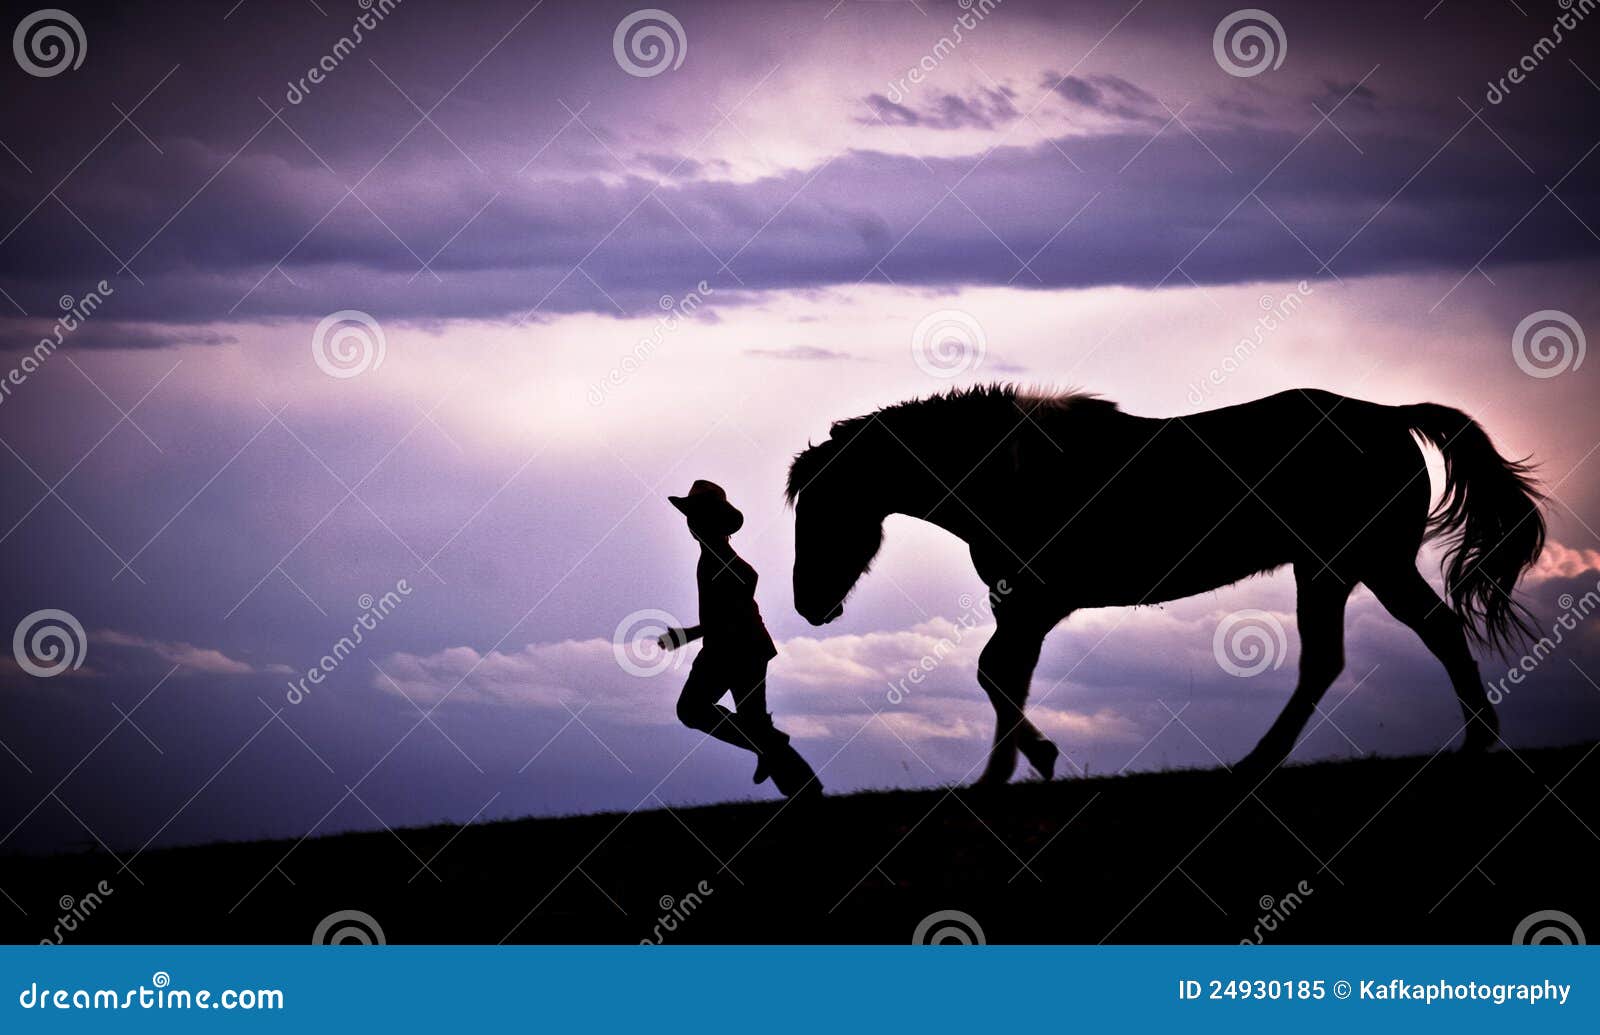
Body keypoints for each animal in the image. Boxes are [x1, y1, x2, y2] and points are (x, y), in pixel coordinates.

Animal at [786, 385, 1546, 784]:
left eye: (823, 512)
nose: (808, 605)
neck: (1013, 474)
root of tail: (1388, 414)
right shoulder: (1021, 606)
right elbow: (1002, 676)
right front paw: (1012, 768)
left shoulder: (1034, 604)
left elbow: (996, 673)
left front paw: (1019, 766)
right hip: (1345, 568)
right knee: (1369, 649)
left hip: (1356, 565)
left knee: (1378, 647)